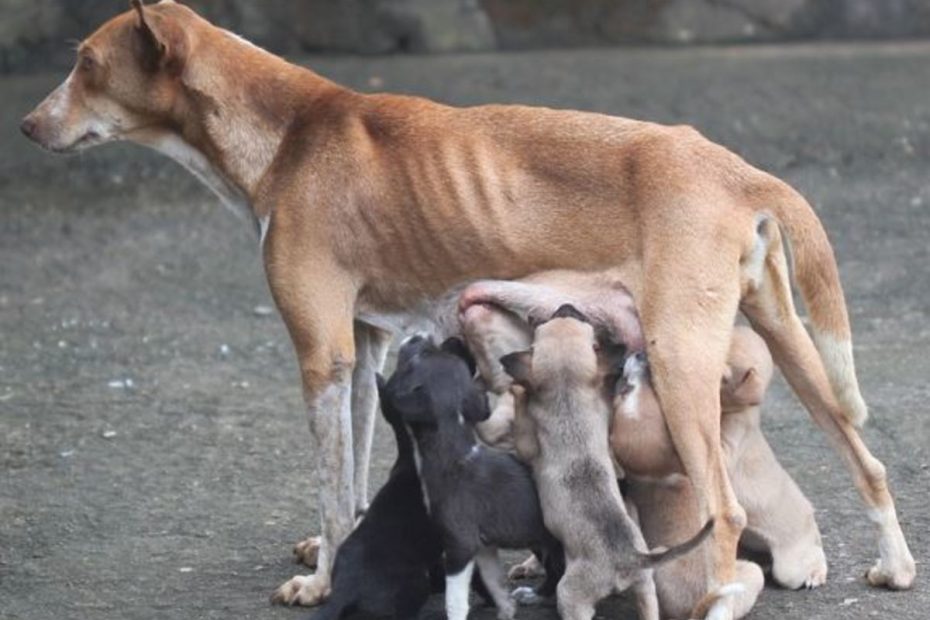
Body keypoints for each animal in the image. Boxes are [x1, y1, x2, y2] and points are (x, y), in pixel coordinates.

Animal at [380, 336, 560, 620]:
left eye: (415, 360)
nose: (418, 336)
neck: (456, 453)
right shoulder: (484, 545)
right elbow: (495, 581)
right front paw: (506, 611)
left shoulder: (460, 544)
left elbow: (454, 600)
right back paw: (536, 595)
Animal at [500, 306, 712, 620]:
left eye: (551, 321)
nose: (566, 306)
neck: (568, 393)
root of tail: (630, 560)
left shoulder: (528, 442)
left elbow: (523, 409)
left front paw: (516, 387)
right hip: (646, 586)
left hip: (571, 595)